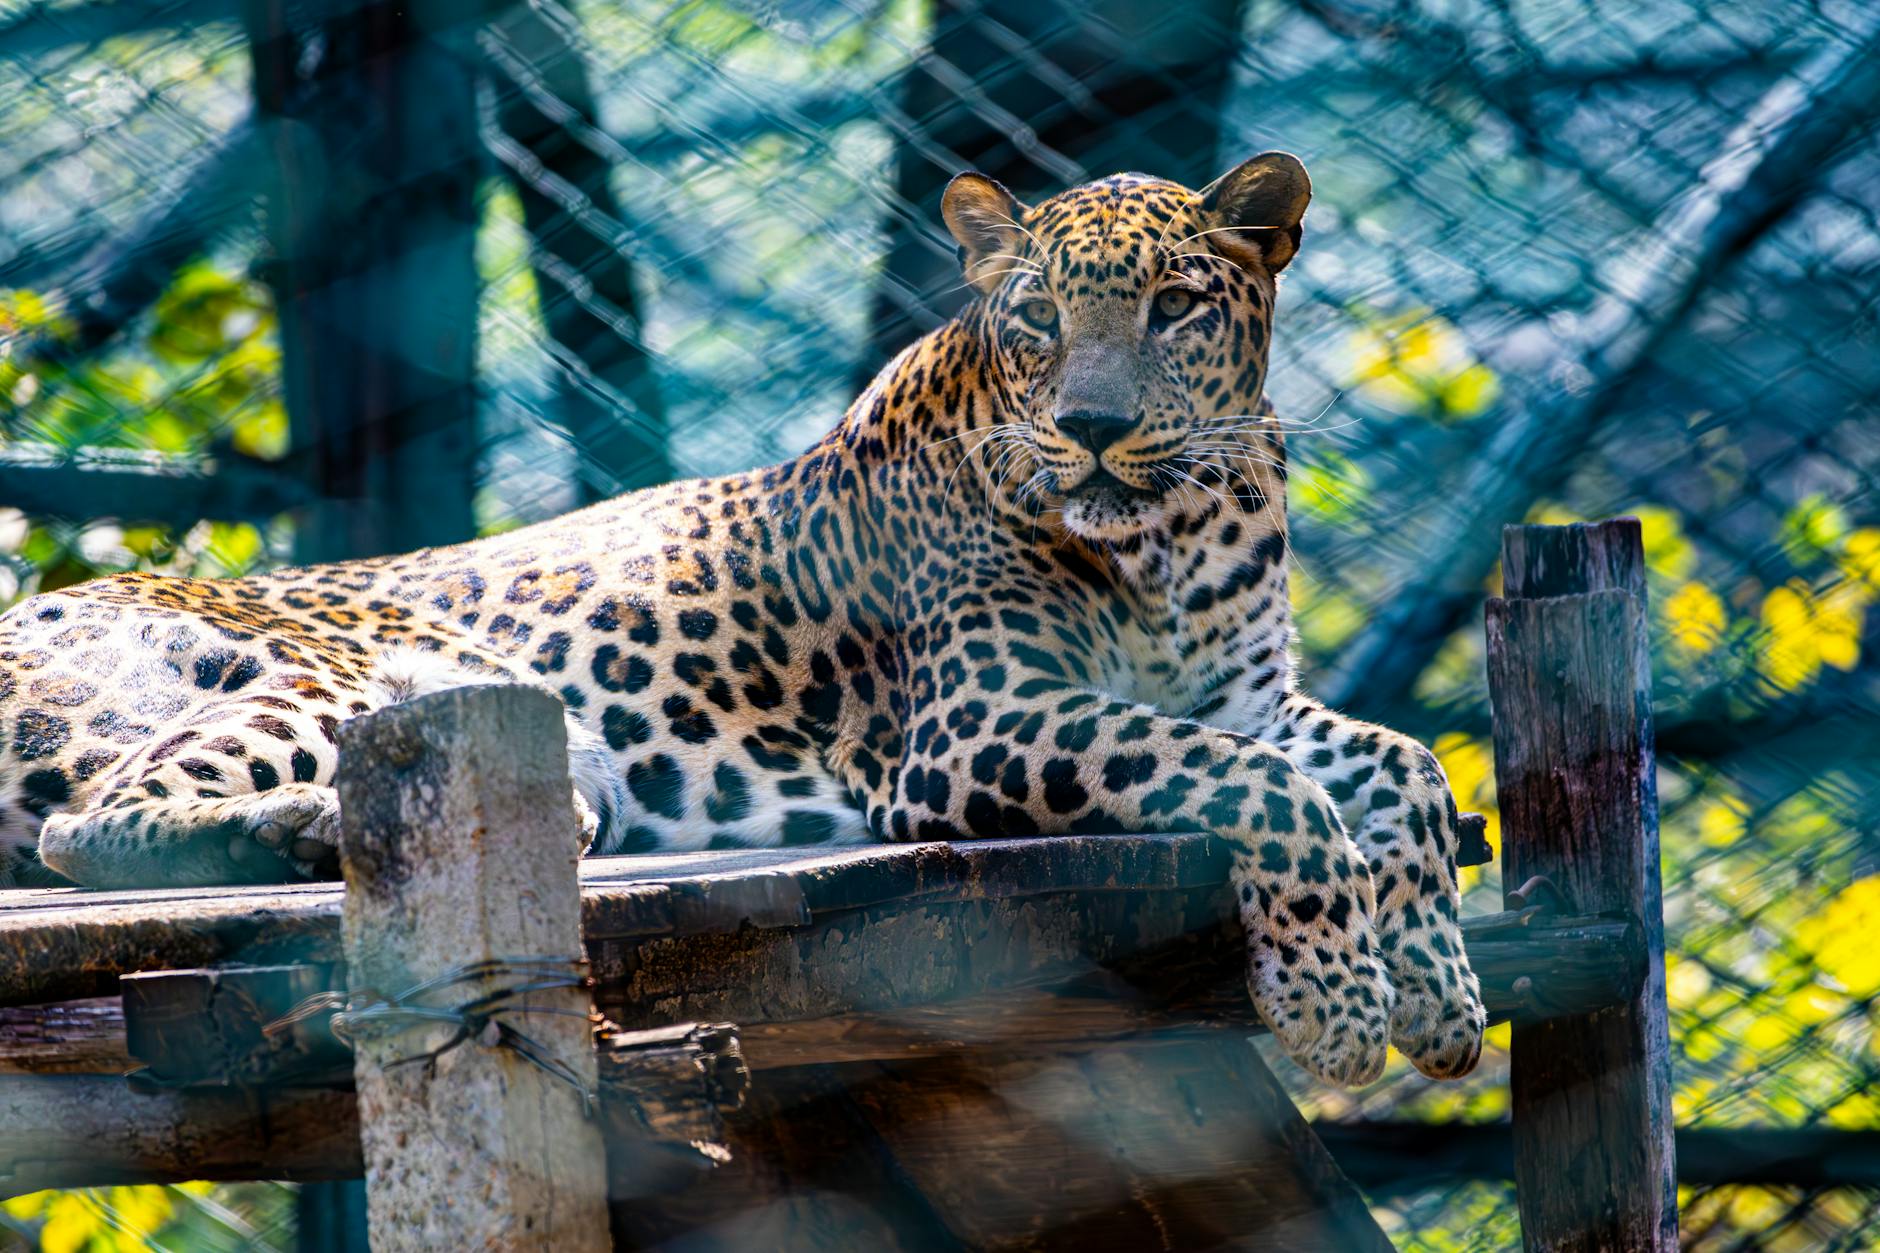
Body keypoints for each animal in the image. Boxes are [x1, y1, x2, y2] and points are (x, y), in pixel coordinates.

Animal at [0, 153, 1486, 1086]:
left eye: (1176, 306)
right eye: (1039, 318)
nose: (1094, 428)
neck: (1175, 539)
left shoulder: (1245, 695)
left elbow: (1397, 766)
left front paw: (1439, 993)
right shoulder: (975, 725)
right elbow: (1261, 786)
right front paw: (1336, 1006)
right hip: (363, 675)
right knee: (96, 824)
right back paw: (306, 827)